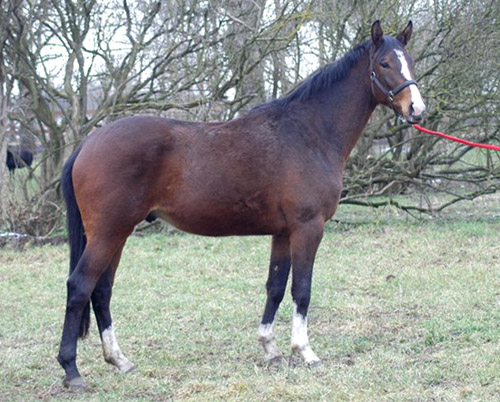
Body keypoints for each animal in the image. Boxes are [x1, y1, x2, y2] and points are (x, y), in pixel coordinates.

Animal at [58, 20, 426, 388]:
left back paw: (119, 360)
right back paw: (71, 370)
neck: (310, 134)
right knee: (80, 287)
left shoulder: (283, 233)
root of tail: (88, 143)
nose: (416, 109)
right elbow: (302, 289)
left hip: (116, 234)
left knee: (101, 290)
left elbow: (275, 287)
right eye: (384, 64)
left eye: (409, 60)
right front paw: (305, 352)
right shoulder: (308, 228)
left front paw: (270, 348)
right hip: (108, 233)